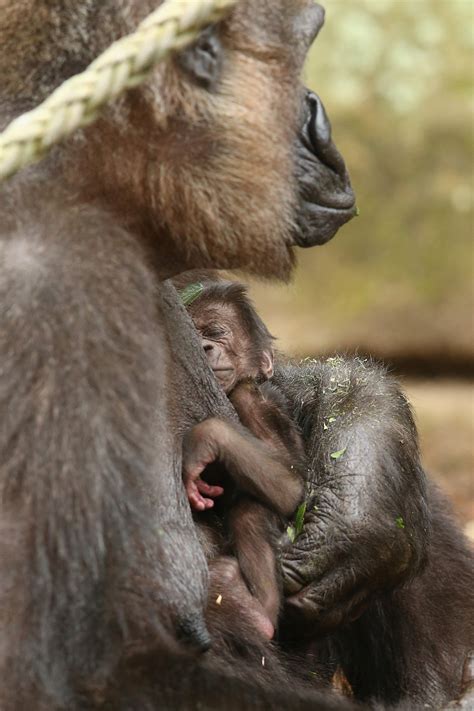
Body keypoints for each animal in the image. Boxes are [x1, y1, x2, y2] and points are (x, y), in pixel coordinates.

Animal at [180, 280, 306, 636]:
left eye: (217, 332)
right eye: (194, 333)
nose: (205, 346)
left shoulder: (250, 399)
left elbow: (291, 486)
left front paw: (207, 438)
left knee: (249, 511)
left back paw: (259, 613)